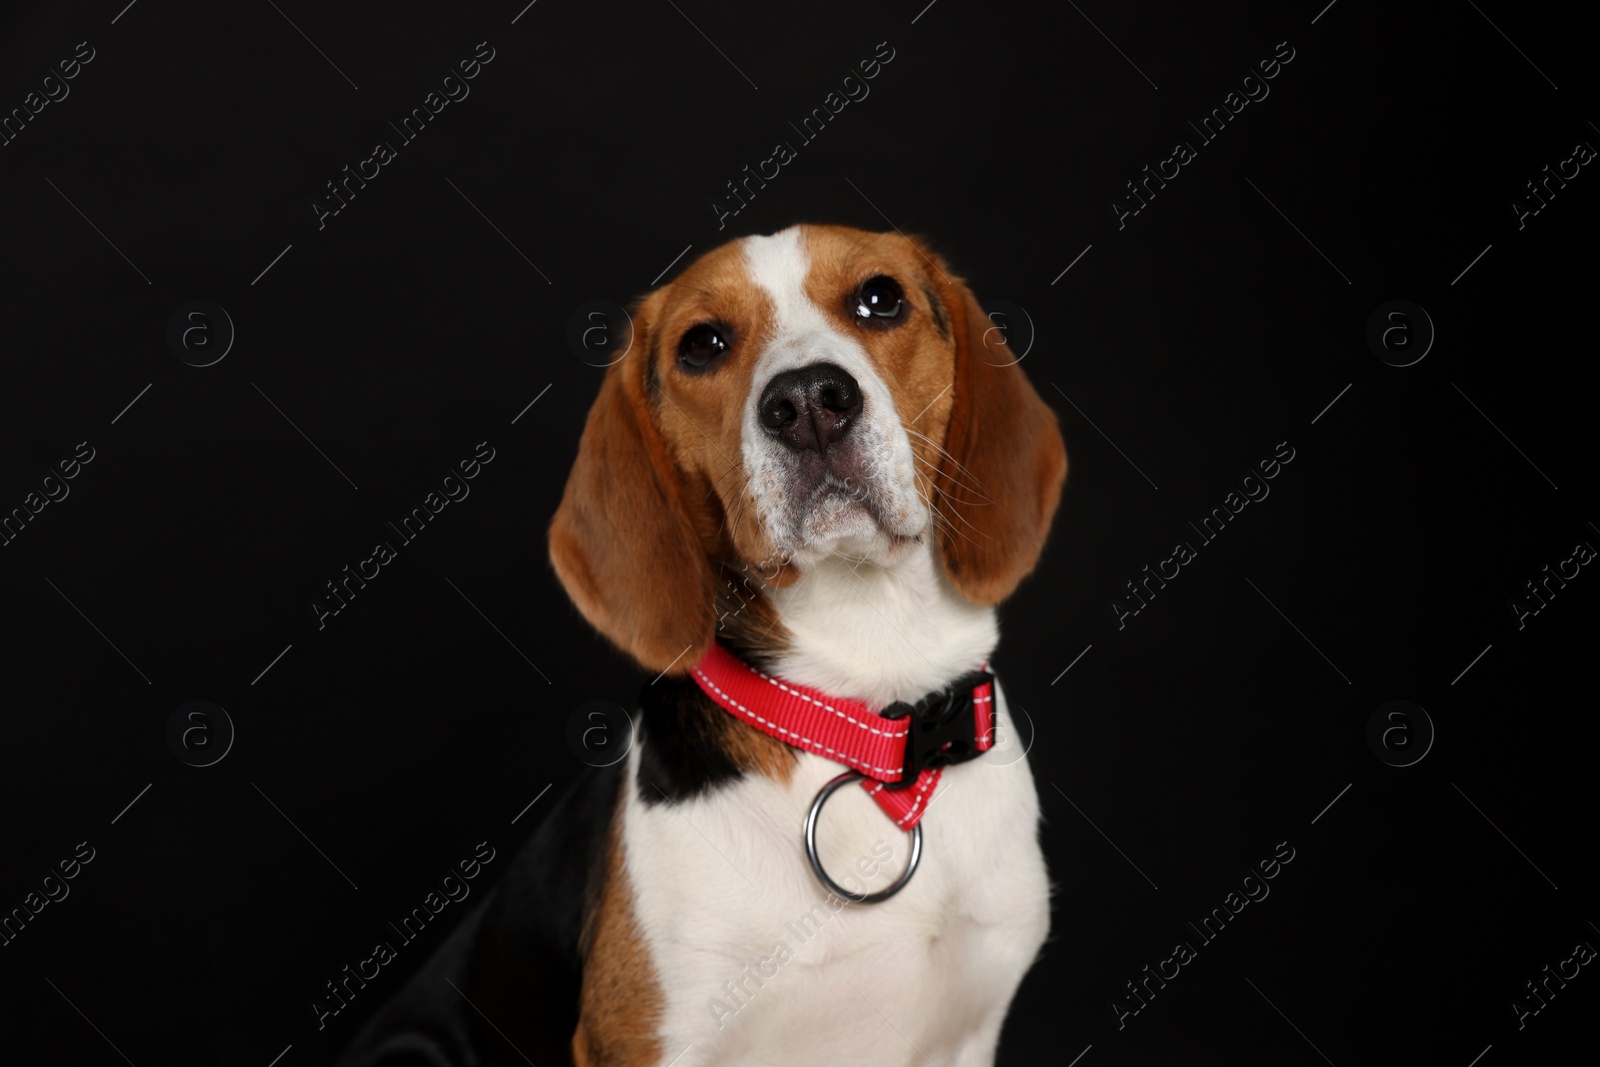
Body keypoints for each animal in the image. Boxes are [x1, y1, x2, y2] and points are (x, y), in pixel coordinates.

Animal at [337, 225, 1062, 1067]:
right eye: (703, 345)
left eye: (880, 298)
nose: (808, 403)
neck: (861, 719)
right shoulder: (649, 1043)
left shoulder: (969, 1029)